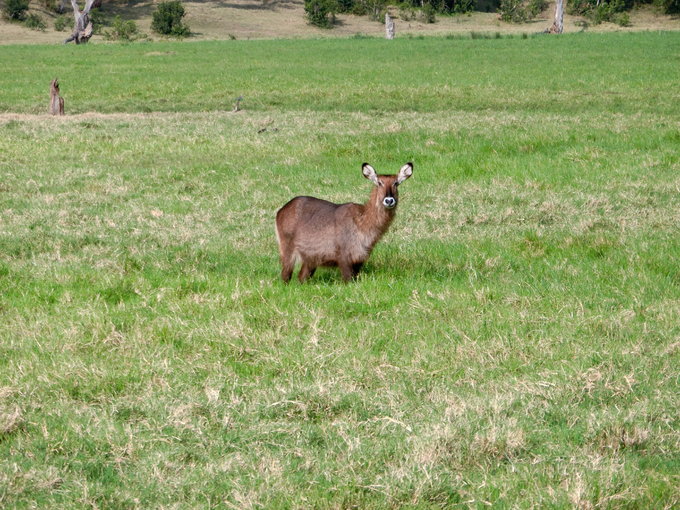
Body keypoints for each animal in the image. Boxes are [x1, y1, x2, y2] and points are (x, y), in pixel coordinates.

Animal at [274, 163, 412, 282]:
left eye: (396, 183)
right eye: (379, 182)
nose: (389, 200)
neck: (362, 223)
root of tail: (280, 211)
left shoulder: (360, 259)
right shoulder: (344, 256)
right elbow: (348, 280)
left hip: (310, 258)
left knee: (301, 277)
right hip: (287, 249)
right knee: (285, 276)